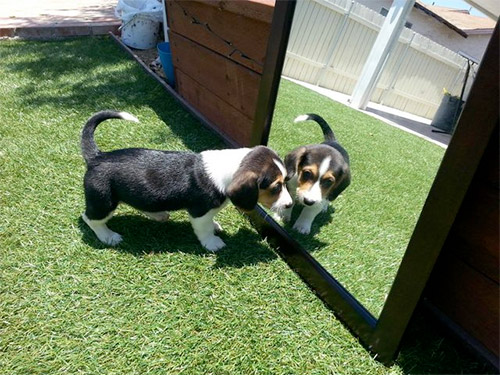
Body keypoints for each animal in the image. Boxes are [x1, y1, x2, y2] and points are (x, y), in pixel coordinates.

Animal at [81, 111, 292, 253]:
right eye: (276, 187)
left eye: (286, 181)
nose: (290, 205)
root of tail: (97, 157)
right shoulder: (199, 213)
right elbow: (204, 230)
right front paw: (213, 243)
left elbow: (211, 221)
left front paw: (215, 226)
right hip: (104, 202)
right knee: (90, 218)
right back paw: (108, 236)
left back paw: (158, 215)